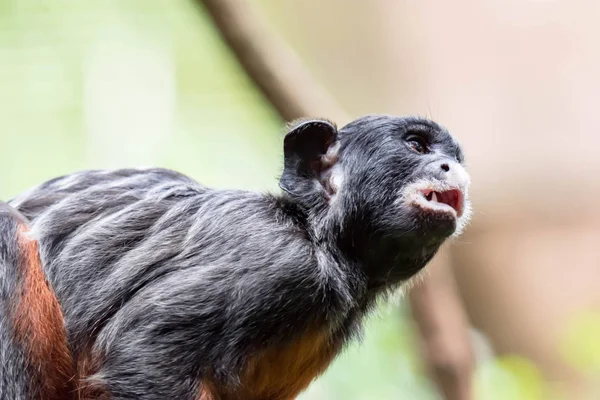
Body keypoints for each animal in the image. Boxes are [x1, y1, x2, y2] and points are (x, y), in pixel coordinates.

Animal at [1, 115, 474, 400]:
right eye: (417, 146)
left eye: (451, 157)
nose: (452, 168)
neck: (318, 239)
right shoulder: (273, 259)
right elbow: (141, 352)